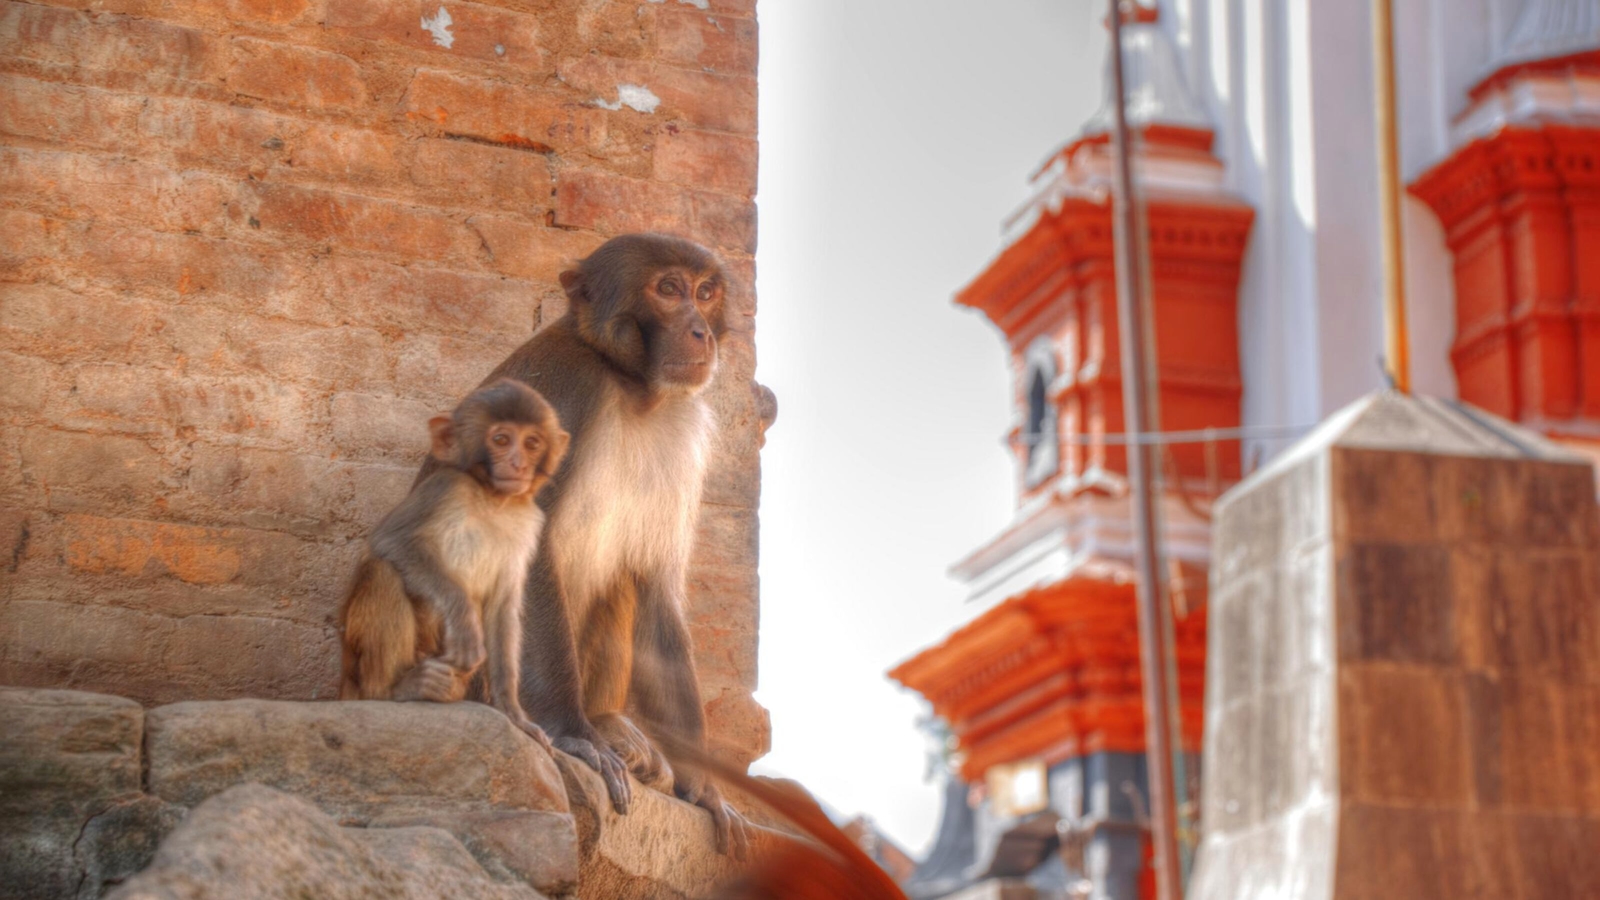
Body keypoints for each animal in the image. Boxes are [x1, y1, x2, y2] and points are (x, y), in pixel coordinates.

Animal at [340, 378, 569, 752]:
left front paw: (514, 713)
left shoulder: (529, 522)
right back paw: (392, 690)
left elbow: (502, 609)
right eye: (501, 439)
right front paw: (465, 623)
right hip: (354, 670)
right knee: (382, 572)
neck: (493, 499)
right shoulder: (445, 488)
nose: (519, 463)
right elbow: (392, 541)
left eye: (532, 443)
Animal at [422, 233, 750, 858]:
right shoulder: (569, 392)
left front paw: (704, 789)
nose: (701, 330)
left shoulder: (681, 425)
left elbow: (655, 584)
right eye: (668, 288)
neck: (628, 383)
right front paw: (572, 736)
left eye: (705, 292)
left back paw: (610, 722)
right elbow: (528, 548)